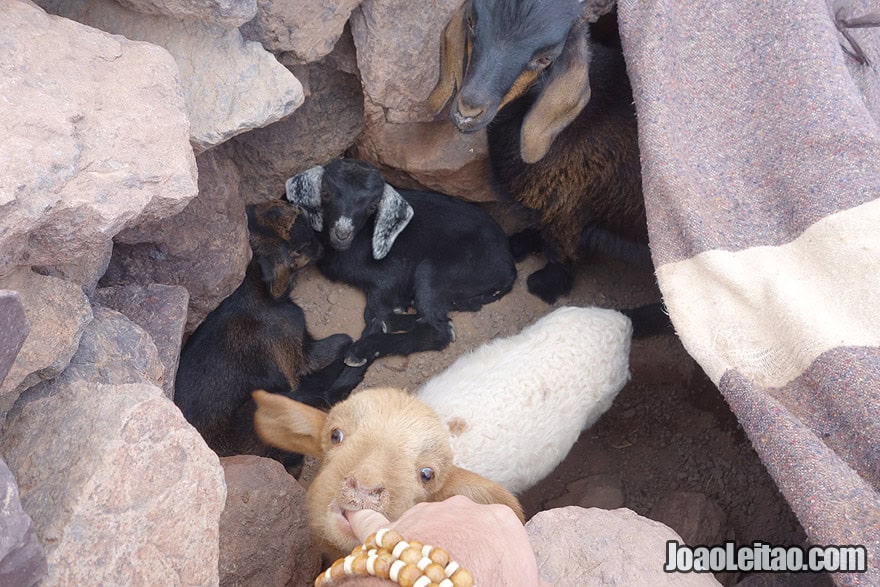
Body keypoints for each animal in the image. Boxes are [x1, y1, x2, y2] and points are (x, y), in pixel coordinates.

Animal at [286, 156, 516, 368]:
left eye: (372, 206)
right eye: (326, 193)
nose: (342, 234)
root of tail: (508, 267)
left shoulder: (390, 275)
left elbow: (375, 312)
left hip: (436, 271)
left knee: (437, 330)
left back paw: (363, 349)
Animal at [430, 0, 648, 304]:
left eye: (546, 58)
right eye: (471, 22)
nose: (468, 111)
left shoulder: (566, 209)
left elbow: (559, 250)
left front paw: (546, 284)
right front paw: (522, 241)